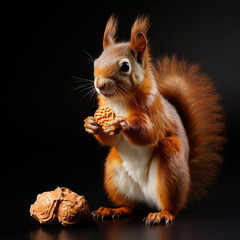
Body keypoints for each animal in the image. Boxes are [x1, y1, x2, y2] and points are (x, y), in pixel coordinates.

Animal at [83, 15, 224, 225]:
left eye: (125, 66)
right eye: (96, 62)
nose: (99, 85)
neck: (119, 101)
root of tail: (148, 199)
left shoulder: (154, 111)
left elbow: (148, 133)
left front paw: (123, 123)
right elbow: (110, 139)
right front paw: (90, 124)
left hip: (170, 168)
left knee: (171, 207)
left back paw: (161, 214)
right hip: (114, 172)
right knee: (130, 206)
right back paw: (112, 210)